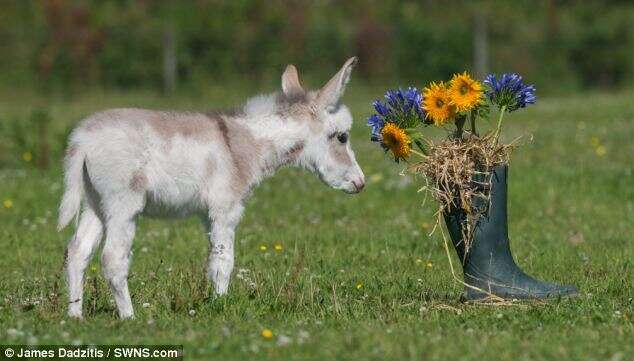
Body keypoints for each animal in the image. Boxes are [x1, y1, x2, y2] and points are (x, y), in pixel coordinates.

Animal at [60, 57, 366, 318]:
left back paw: (75, 315)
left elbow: (212, 260)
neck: (245, 145)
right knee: (112, 258)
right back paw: (130, 317)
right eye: (342, 137)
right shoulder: (226, 208)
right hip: (123, 205)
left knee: (77, 251)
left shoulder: (209, 214)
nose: (360, 183)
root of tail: (82, 139)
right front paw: (221, 305)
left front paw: (215, 301)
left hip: (95, 203)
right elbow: (224, 261)